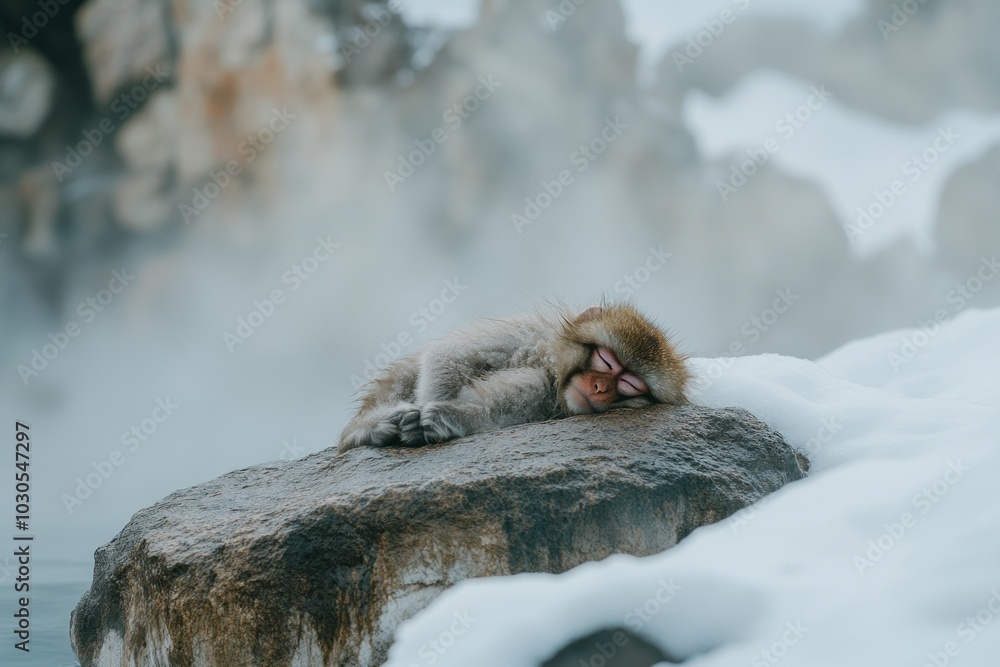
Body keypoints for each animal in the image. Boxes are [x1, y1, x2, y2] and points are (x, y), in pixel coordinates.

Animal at [337, 303, 689, 453]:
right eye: (606, 361)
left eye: (629, 385)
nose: (600, 387)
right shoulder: (530, 336)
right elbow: (448, 356)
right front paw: (423, 420)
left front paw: (451, 417)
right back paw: (373, 428)